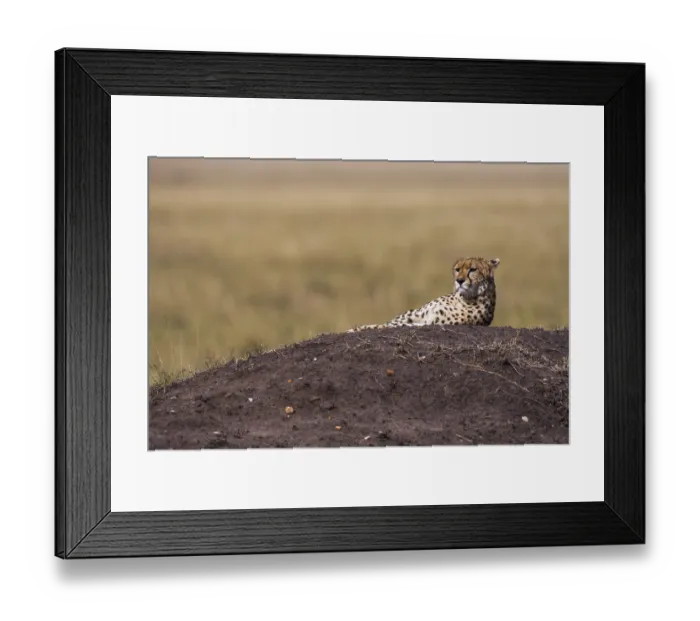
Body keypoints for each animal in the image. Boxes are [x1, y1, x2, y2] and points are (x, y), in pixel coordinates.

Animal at [347, 256, 500, 332]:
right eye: (457, 269)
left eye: (473, 269)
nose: (459, 281)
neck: (464, 298)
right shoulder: (417, 315)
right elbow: (389, 324)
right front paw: (356, 328)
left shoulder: (430, 322)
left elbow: (391, 326)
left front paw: (357, 329)